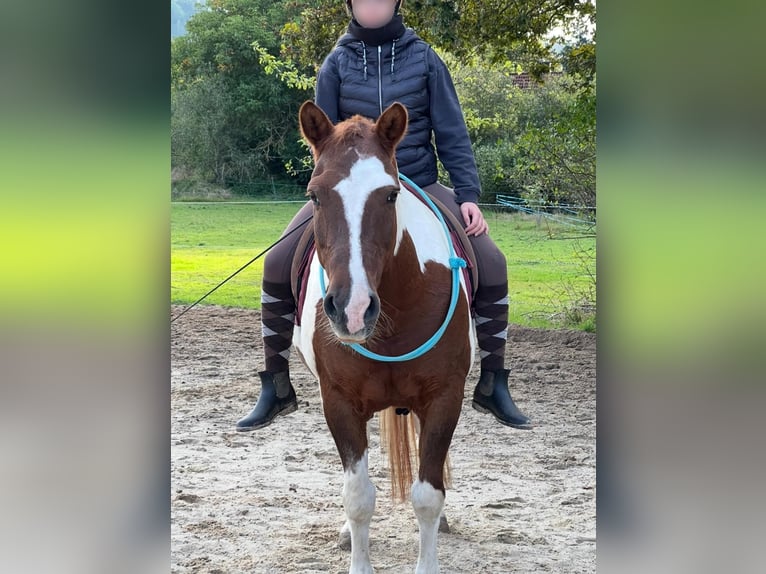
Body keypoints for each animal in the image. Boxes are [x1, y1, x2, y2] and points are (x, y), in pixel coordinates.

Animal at [292, 101, 474, 572]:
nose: (352, 309)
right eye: (314, 195)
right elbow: (358, 497)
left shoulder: (444, 398)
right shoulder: (338, 402)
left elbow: (428, 496)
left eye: (390, 195)